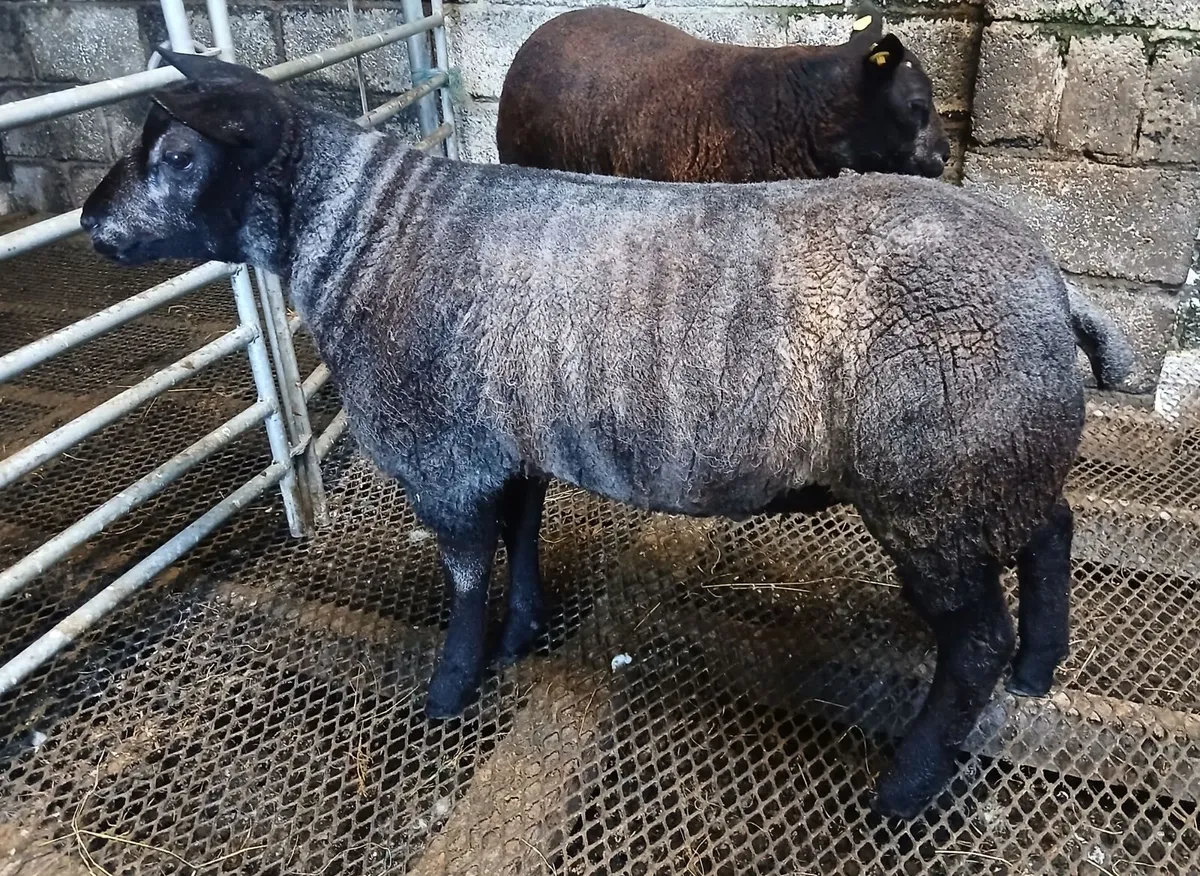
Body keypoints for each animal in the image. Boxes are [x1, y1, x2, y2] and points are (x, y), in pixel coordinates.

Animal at [80, 52, 1133, 819]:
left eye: (179, 158)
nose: (89, 221)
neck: (366, 236)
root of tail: (1054, 287)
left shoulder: (443, 451)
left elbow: (466, 573)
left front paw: (452, 686)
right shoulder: (507, 446)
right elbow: (522, 536)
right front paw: (521, 632)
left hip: (937, 486)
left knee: (976, 640)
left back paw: (910, 783)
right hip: (997, 465)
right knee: (1052, 533)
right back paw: (1042, 667)